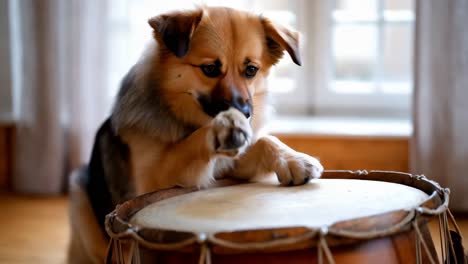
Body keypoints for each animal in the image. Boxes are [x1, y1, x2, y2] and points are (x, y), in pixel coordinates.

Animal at [67, 6, 324, 264]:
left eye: (251, 70)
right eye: (210, 69)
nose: (245, 114)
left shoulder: (229, 166)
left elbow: (264, 140)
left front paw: (293, 159)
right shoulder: (153, 183)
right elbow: (195, 140)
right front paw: (221, 127)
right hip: (79, 194)